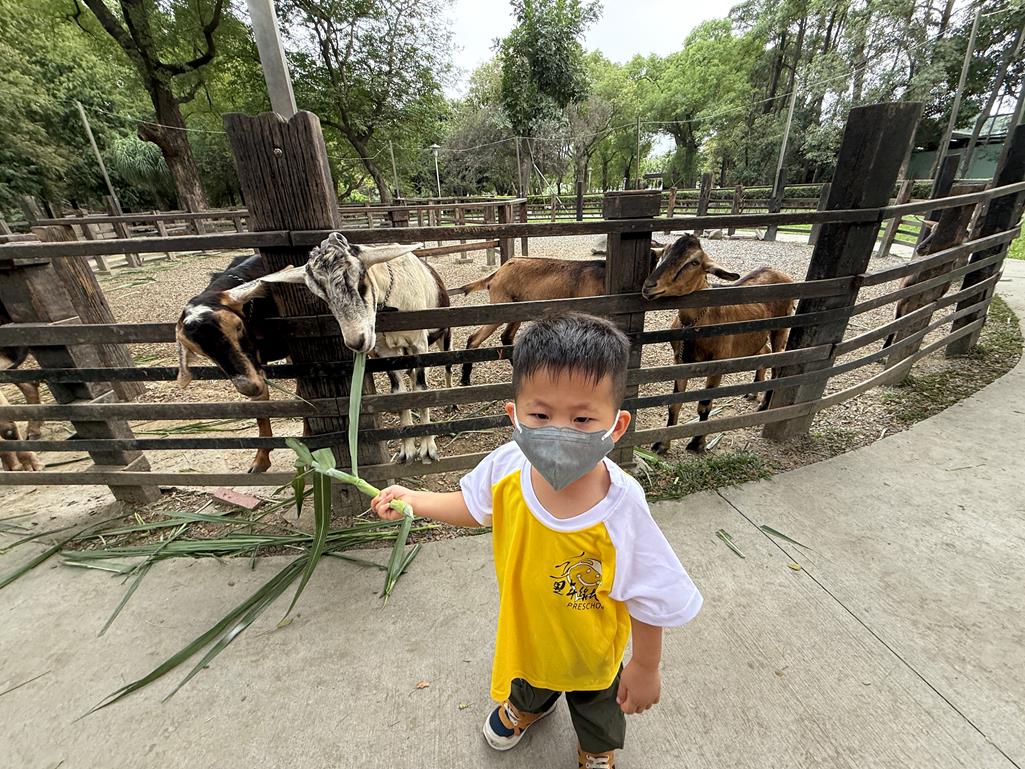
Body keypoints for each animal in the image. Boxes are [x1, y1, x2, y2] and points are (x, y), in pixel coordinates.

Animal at [176, 253, 297, 473]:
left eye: (238, 326)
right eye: (202, 352)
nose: (248, 387)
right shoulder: (256, 364)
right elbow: (261, 411)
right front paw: (260, 460)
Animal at [265, 233, 453, 463]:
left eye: (361, 282)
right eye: (324, 296)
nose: (357, 341)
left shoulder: (419, 343)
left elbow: (421, 389)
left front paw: (427, 449)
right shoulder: (385, 351)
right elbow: (398, 393)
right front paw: (407, 450)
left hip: (443, 336)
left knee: (447, 367)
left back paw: (450, 403)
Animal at [451, 248, 664, 387]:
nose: (650, 287)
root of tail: (498, 272)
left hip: (517, 309)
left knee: (506, 337)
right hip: (500, 306)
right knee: (474, 338)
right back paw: (465, 378)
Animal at [641, 234, 795, 454]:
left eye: (694, 262)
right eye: (664, 253)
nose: (649, 286)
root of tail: (779, 272)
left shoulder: (718, 363)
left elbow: (704, 405)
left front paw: (697, 443)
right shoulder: (679, 361)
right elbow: (674, 404)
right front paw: (661, 444)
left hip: (781, 328)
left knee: (777, 363)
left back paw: (765, 405)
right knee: (763, 352)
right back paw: (752, 392)